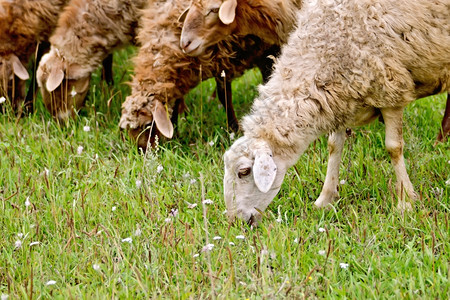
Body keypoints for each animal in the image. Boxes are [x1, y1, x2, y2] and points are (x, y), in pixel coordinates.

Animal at [118, 0, 282, 150]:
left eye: (147, 124)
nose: (142, 151)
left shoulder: (223, 60)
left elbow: (224, 97)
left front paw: (234, 129)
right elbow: (177, 102)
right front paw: (175, 129)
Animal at [222, 0, 450, 225]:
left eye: (243, 172)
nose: (236, 222)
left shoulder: (391, 90)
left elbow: (393, 148)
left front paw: (405, 203)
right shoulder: (339, 98)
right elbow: (334, 147)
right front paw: (325, 199)